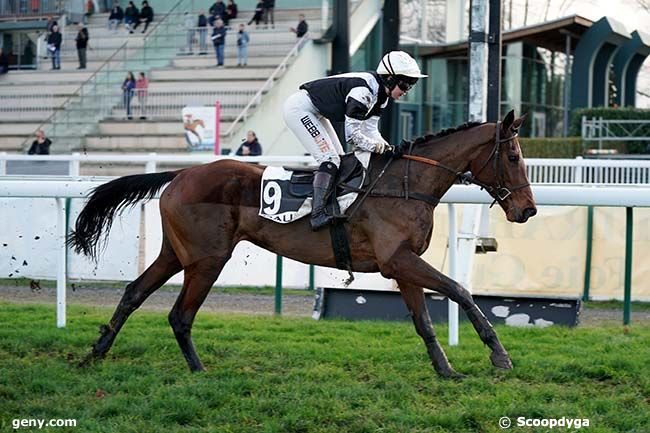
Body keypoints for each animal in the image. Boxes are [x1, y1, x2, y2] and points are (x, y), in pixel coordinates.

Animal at [71, 109, 536, 376]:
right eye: (514, 156)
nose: (528, 210)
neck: (407, 185)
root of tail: (180, 173)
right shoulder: (398, 260)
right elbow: (460, 291)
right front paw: (499, 355)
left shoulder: (402, 265)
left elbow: (424, 322)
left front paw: (446, 370)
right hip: (207, 259)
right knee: (179, 314)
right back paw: (198, 369)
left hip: (176, 253)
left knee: (134, 293)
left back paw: (95, 353)